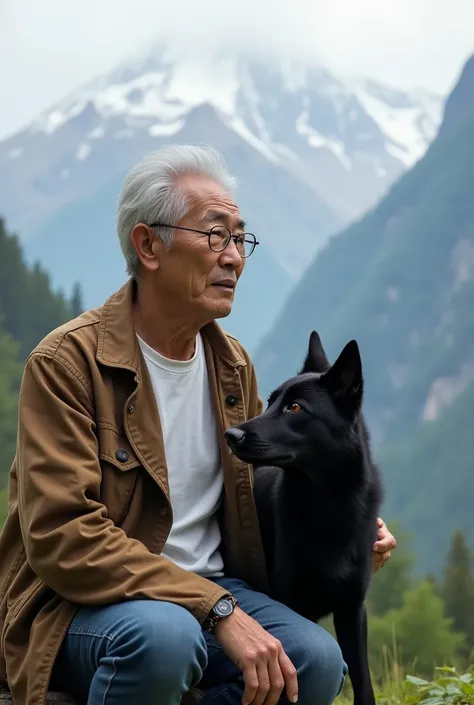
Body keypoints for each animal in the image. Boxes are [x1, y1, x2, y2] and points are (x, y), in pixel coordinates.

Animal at [224, 330, 384, 704]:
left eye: (294, 408)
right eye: (270, 402)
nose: (231, 435)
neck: (327, 503)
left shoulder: (352, 611)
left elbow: (364, 685)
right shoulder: (290, 602)